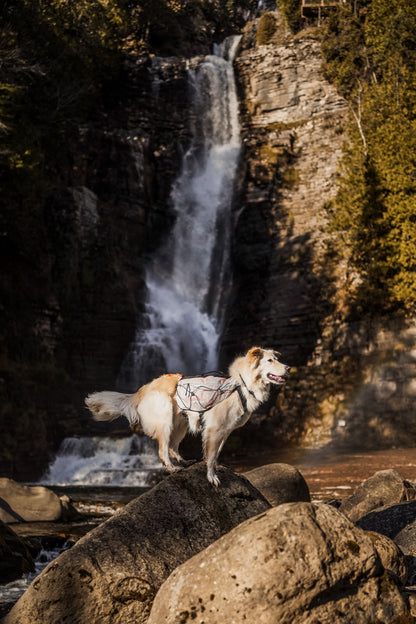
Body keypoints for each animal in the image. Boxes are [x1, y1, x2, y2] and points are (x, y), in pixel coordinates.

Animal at [85, 348, 290, 486]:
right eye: (270, 360)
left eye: (277, 359)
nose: (288, 368)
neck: (241, 385)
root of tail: (143, 389)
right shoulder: (214, 429)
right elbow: (211, 455)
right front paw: (211, 476)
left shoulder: (226, 431)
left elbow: (216, 454)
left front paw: (218, 468)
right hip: (166, 421)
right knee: (163, 450)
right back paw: (172, 468)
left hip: (181, 424)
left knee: (173, 447)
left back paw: (184, 462)